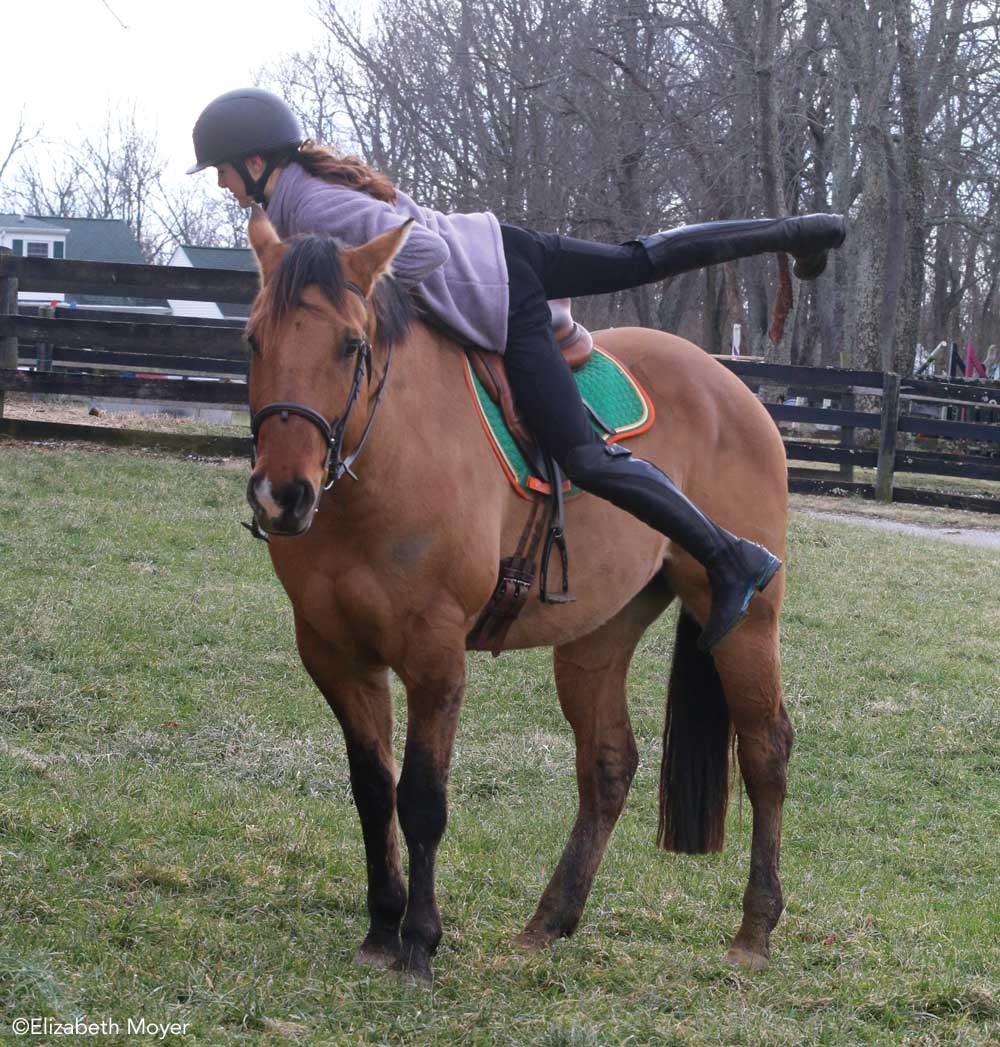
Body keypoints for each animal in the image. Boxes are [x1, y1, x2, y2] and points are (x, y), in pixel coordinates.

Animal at [240, 208, 791, 984]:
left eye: (351, 345)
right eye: (253, 340)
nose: (282, 494)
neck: (384, 465)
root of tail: (732, 386)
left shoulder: (435, 656)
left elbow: (422, 798)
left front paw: (419, 941)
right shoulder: (336, 655)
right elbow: (373, 790)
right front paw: (381, 926)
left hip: (744, 624)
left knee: (767, 751)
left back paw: (754, 928)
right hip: (598, 633)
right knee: (609, 764)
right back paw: (550, 919)